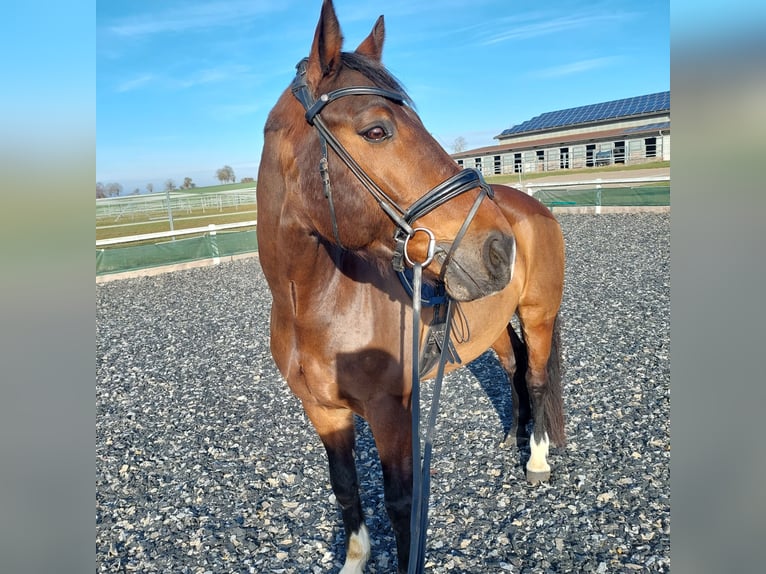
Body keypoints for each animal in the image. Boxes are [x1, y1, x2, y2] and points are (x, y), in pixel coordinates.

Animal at [255, 1, 565, 572]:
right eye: (377, 130)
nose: (499, 249)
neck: (314, 303)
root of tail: (529, 208)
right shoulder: (324, 413)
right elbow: (346, 489)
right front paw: (355, 559)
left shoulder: (394, 413)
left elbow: (402, 504)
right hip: (491, 327)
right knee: (511, 369)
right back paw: (511, 435)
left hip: (539, 316)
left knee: (534, 375)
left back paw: (535, 458)